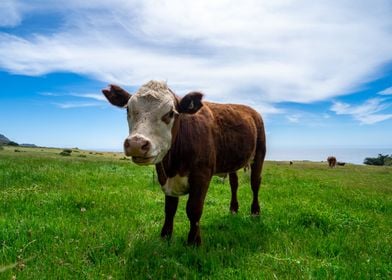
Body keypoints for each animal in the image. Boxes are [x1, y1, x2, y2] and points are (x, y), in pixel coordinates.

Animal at [102, 80, 266, 245]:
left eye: (170, 113)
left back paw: (255, 212)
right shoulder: (164, 176)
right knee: (234, 184)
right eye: (128, 109)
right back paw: (233, 209)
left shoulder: (202, 175)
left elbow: (194, 209)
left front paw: (194, 241)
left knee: (255, 183)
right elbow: (170, 208)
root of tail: (252, 110)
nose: (136, 144)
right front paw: (165, 236)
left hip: (259, 154)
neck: (173, 166)